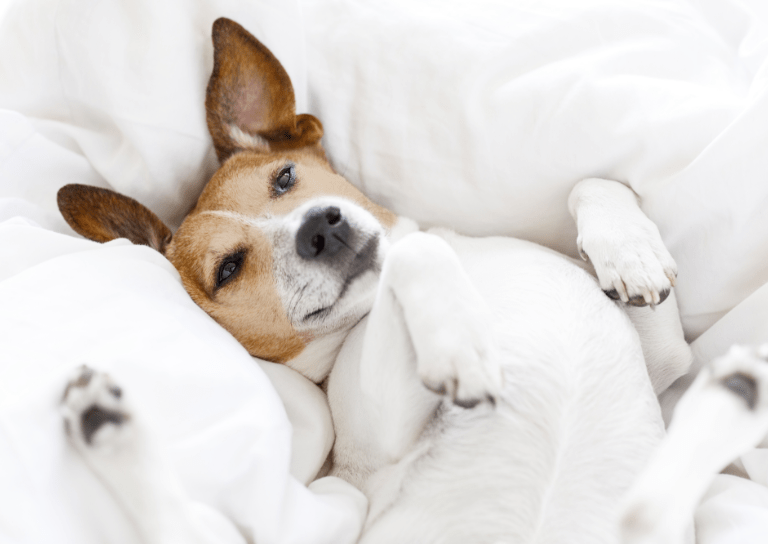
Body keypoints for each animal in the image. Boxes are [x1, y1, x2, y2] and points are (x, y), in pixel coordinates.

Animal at [55, 17, 768, 544]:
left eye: (285, 178)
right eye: (227, 269)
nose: (320, 227)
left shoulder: (667, 360)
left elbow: (594, 182)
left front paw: (630, 253)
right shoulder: (384, 436)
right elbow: (421, 254)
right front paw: (461, 345)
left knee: (649, 507)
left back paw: (733, 394)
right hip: (336, 504)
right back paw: (106, 426)